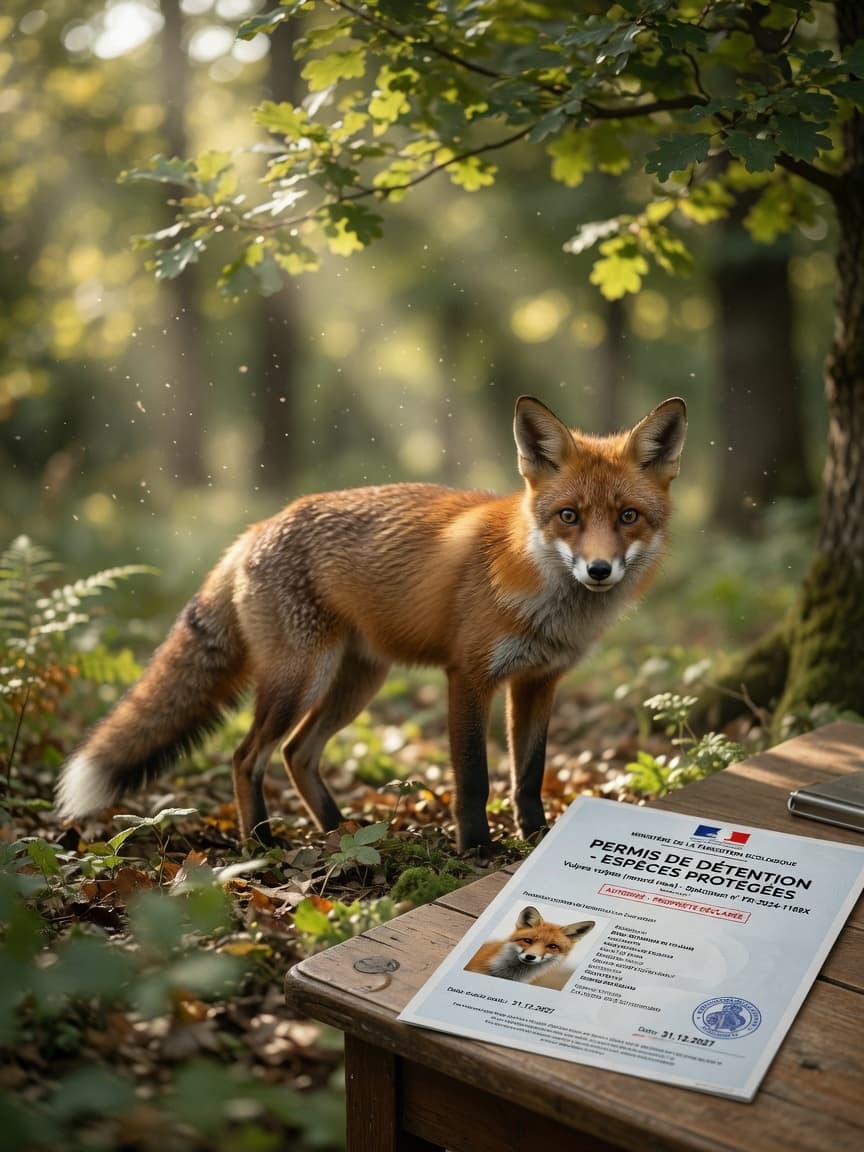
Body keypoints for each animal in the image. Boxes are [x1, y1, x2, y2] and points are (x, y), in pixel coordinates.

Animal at [55, 394, 686, 852]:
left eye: (629, 517)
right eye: (569, 517)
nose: (599, 570)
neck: (542, 594)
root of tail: (256, 528)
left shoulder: (538, 681)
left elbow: (528, 775)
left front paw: (537, 839)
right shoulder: (469, 676)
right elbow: (475, 777)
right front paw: (477, 850)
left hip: (357, 683)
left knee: (297, 753)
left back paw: (340, 831)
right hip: (300, 678)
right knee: (247, 756)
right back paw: (261, 843)